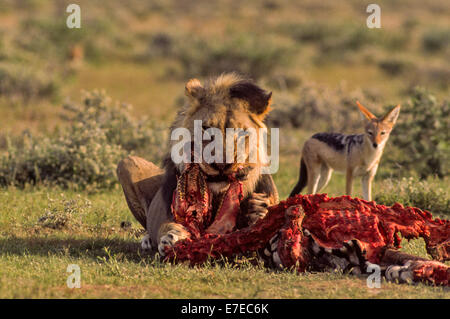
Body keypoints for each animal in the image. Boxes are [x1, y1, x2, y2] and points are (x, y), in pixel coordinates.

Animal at [116, 74, 278, 256]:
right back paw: (147, 240)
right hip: (126, 163)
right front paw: (172, 238)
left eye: (241, 132)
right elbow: (166, 225)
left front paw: (259, 211)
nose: (221, 164)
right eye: (206, 128)